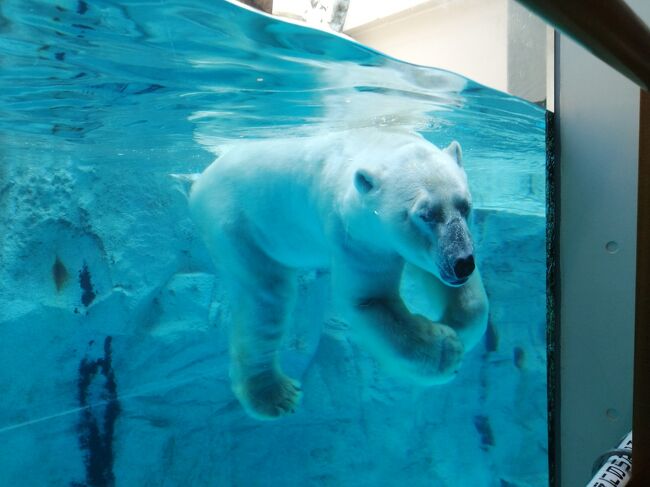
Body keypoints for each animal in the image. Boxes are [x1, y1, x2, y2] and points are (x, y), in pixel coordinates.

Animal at [187, 129, 486, 420]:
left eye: (465, 205)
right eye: (425, 215)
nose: (462, 263)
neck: (378, 140)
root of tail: (200, 181)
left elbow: (459, 292)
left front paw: (456, 324)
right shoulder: (356, 235)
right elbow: (370, 299)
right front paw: (446, 349)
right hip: (238, 224)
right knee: (266, 299)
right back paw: (274, 395)